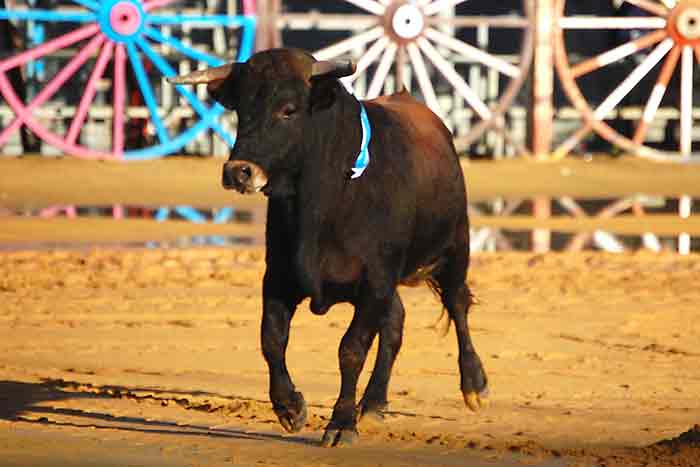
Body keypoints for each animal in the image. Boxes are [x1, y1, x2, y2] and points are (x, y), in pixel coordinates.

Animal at [169, 49, 486, 448]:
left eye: (288, 109)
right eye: (241, 109)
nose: (238, 171)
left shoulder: (375, 280)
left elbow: (351, 350)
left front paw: (340, 424)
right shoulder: (279, 277)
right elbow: (272, 339)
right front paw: (290, 408)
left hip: (456, 245)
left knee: (457, 304)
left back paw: (473, 384)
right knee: (395, 323)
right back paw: (374, 403)